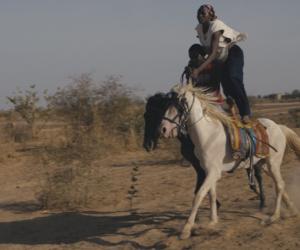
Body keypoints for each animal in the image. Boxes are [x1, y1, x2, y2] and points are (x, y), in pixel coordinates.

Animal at [159, 83, 298, 238]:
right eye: (168, 103)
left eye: (180, 103)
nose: (164, 129)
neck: (208, 135)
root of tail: (279, 127)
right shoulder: (209, 172)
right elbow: (211, 195)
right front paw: (212, 221)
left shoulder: (213, 172)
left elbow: (199, 195)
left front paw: (186, 229)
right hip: (264, 165)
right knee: (281, 184)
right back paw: (292, 210)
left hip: (273, 163)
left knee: (279, 185)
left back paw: (273, 217)